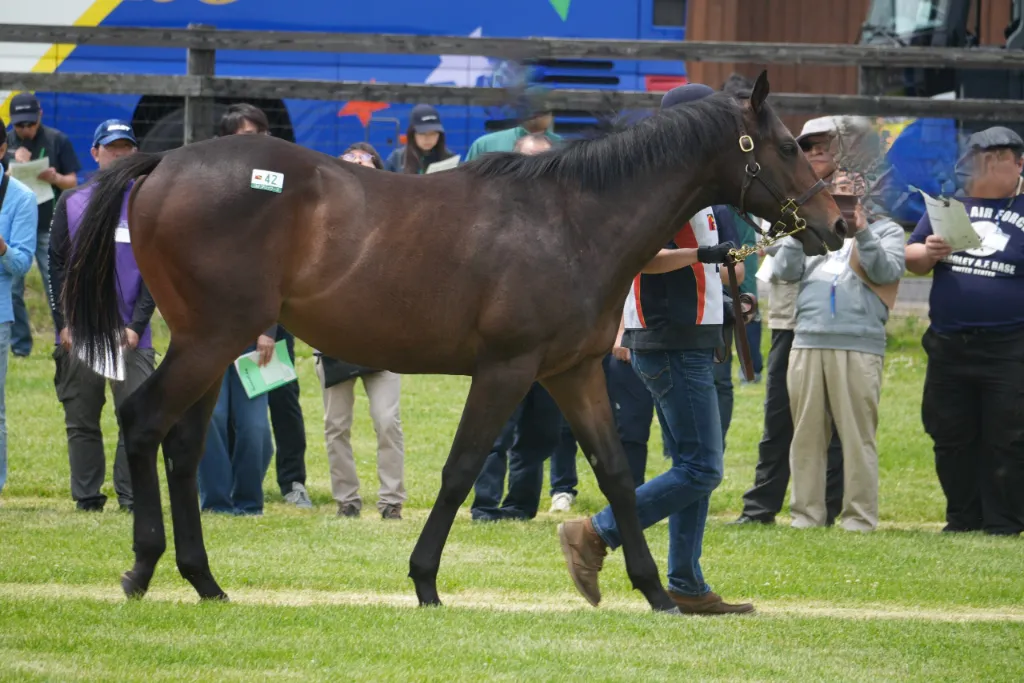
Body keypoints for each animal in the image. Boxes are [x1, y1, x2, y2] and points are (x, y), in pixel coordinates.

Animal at [63, 71, 846, 613]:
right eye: (784, 146)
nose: (837, 224)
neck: (572, 220)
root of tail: (163, 164)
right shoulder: (506, 370)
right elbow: (462, 468)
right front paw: (425, 581)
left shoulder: (573, 371)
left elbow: (618, 472)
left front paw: (652, 592)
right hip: (209, 339)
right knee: (142, 422)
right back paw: (143, 568)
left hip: (210, 344)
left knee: (182, 447)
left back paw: (204, 580)